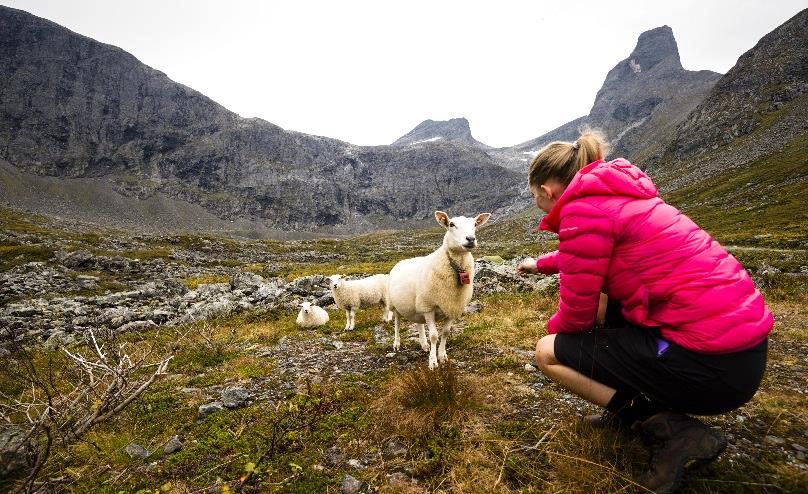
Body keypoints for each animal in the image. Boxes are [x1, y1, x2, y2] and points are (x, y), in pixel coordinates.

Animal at [386, 210, 490, 368]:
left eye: (475, 224)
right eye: (451, 224)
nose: (471, 239)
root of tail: (402, 261)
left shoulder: (451, 307)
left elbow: (445, 333)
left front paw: (442, 356)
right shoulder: (429, 308)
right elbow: (434, 335)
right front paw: (433, 362)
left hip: (417, 305)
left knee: (418, 324)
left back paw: (424, 345)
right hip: (396, 305)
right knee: (397, 322)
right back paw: (397, 344)